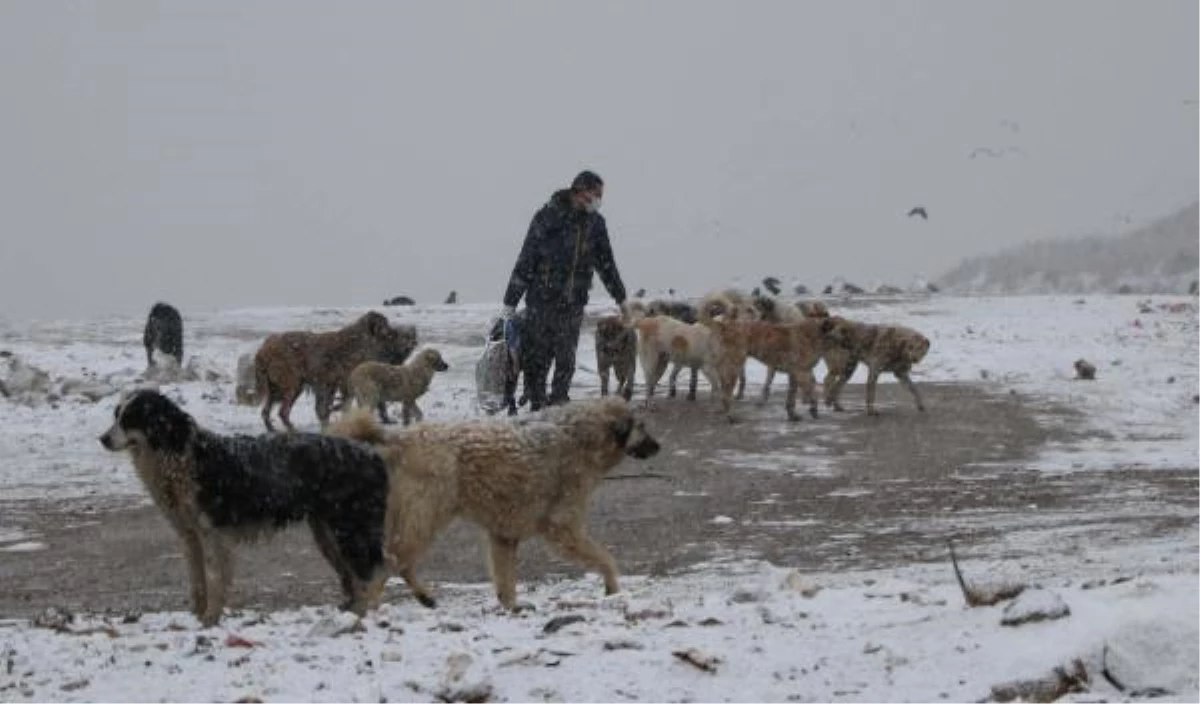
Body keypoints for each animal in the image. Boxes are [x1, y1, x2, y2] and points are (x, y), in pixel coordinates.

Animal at [99, 390, 388, 628]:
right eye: (116, 415)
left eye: (131, 418)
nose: (102, 439)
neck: (180, 455)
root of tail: (369, 452)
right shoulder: (189, 536)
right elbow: (197, 581)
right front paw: (197, 617)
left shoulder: (213, 534)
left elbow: (214, 579)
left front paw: (210, 619)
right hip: (327, 534)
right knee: (355, 574)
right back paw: (348, 611)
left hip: (350, 528)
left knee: (371, 572)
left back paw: (359, 615)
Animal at [250, 311, 415, 431]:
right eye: (387, 331)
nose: (406, 337)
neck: (362, 343)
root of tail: (263, 350)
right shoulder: (340, 382)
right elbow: (338, 405)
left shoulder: (331, 384)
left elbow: (327, 407)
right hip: (292, 384)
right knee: (282, 411)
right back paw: (291, 429)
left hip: (279, 386)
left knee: (267, 410)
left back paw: (272, 428)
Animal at [328, 395, 662, 611]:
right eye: (643, 427)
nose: (659, 447)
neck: (580, 435)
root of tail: (402, 437)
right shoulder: (564, 528)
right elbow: (605, 558)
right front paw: (612, 587)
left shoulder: (503, 535)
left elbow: (505, 580)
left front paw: (511, 607)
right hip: (425, 517)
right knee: (392, 560)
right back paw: (374, 604)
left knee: (398, 561)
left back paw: (421, 596)